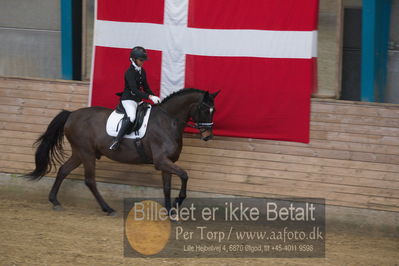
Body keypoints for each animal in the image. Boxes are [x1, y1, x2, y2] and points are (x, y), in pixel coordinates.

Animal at [24, 88, 220, 215]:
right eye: (204, 109)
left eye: (214, 110)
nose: (207, 136)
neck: (167, 121)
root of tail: (71, 114)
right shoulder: (161, 162)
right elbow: (185, 175)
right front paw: (178, 201)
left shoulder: (167, 162)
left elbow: (167, 187)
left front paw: (170, 211)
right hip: (86, 154)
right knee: (90, 180)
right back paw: (107, 208)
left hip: (79, 153)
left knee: (63, 171)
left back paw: (55, 201)